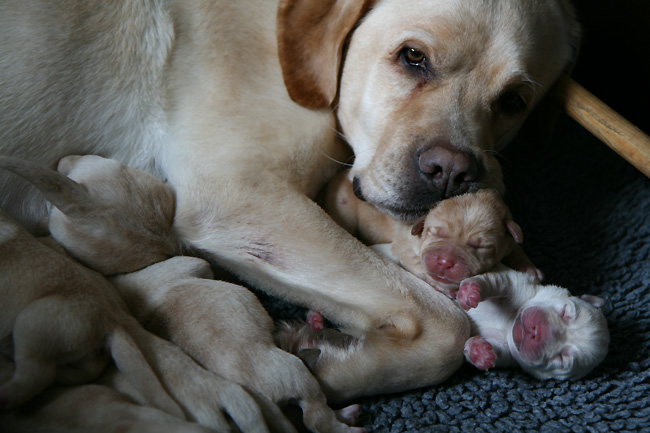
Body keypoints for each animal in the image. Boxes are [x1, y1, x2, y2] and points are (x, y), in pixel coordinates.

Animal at [0, 0, 576, 396]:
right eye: (413, 57)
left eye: (513, 101)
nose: (452, 173)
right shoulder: (239, 193)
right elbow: (445, 326)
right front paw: (324, 366)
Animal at [456, 264, 608, 380]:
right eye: (565, 312)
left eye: (562, 358)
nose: (535, 332)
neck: (509, 325)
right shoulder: (517, 284)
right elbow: (498, 281)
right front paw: (469, 291)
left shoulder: (509, 355)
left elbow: (499, 352)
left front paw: (479, 351)